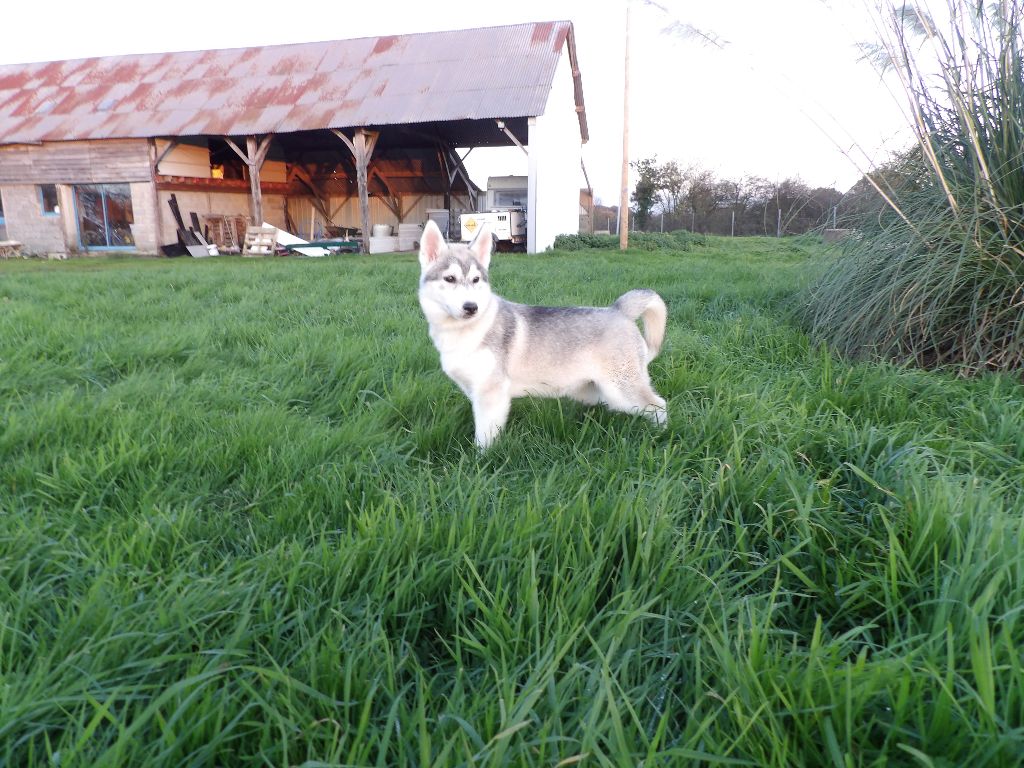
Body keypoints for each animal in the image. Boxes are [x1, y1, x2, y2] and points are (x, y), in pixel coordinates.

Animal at [417, 218, 667, 450]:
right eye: (450, 279)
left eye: (476, 280)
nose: (471, 307)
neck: (465, 332)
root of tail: (620, 310)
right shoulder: (476, 392)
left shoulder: (491, 394)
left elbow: (484, 440)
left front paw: (480, 460)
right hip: (596, 390)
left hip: (622, 390)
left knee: (659, 406)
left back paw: (660, 437)